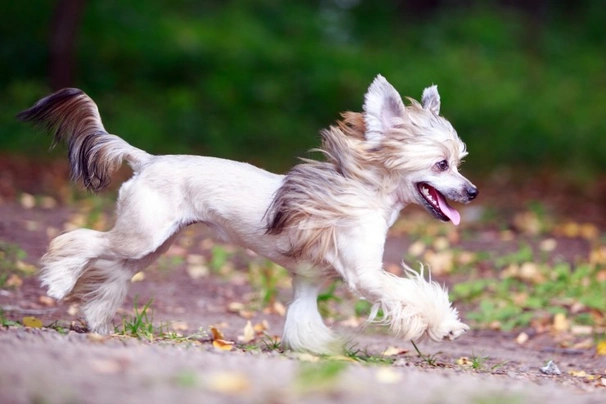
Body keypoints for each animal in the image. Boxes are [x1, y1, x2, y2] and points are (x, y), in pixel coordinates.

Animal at [16, 75, 478, 354]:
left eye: (459, 162)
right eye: (441, 165)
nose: (472, 191)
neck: (361, 190)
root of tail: (147, 159)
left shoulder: (307, 279)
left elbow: (302, 317)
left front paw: (315, 350)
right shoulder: (364, 275)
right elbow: (412, 293)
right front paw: (445, 326)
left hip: (152, 244)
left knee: (114, 270)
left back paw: (96, 320)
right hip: (140, 235)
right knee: (81, 242)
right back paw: (57, 281)